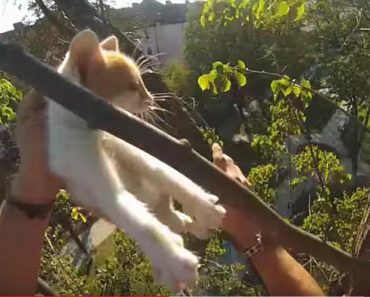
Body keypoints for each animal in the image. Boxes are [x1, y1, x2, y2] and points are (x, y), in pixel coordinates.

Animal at [47, 30, 227, 292]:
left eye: (141, 82)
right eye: (133, 86)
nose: (151, 98)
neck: (97, 132)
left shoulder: (134, 152)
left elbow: (168, 174)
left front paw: (203, 205)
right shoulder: (95, 181)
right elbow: (137, 219)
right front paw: (175, 260)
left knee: (178, 219)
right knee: (171, 225)